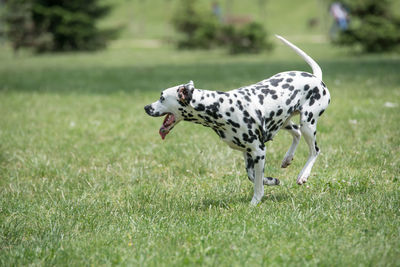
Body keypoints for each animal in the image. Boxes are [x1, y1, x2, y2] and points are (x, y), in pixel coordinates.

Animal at [145, 35, 330, 206]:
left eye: (162, 97)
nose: (146, 107)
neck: (221, 107)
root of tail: (315, 78)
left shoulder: (258, 151)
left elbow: (257, 184)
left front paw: (255, 201)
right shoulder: (247, 153)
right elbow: (253, 176)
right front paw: (271, 180)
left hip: (308, 123)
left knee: (315, 150)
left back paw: (303, 175)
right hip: (285, 122)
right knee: (296, 133)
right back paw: (287, 158)